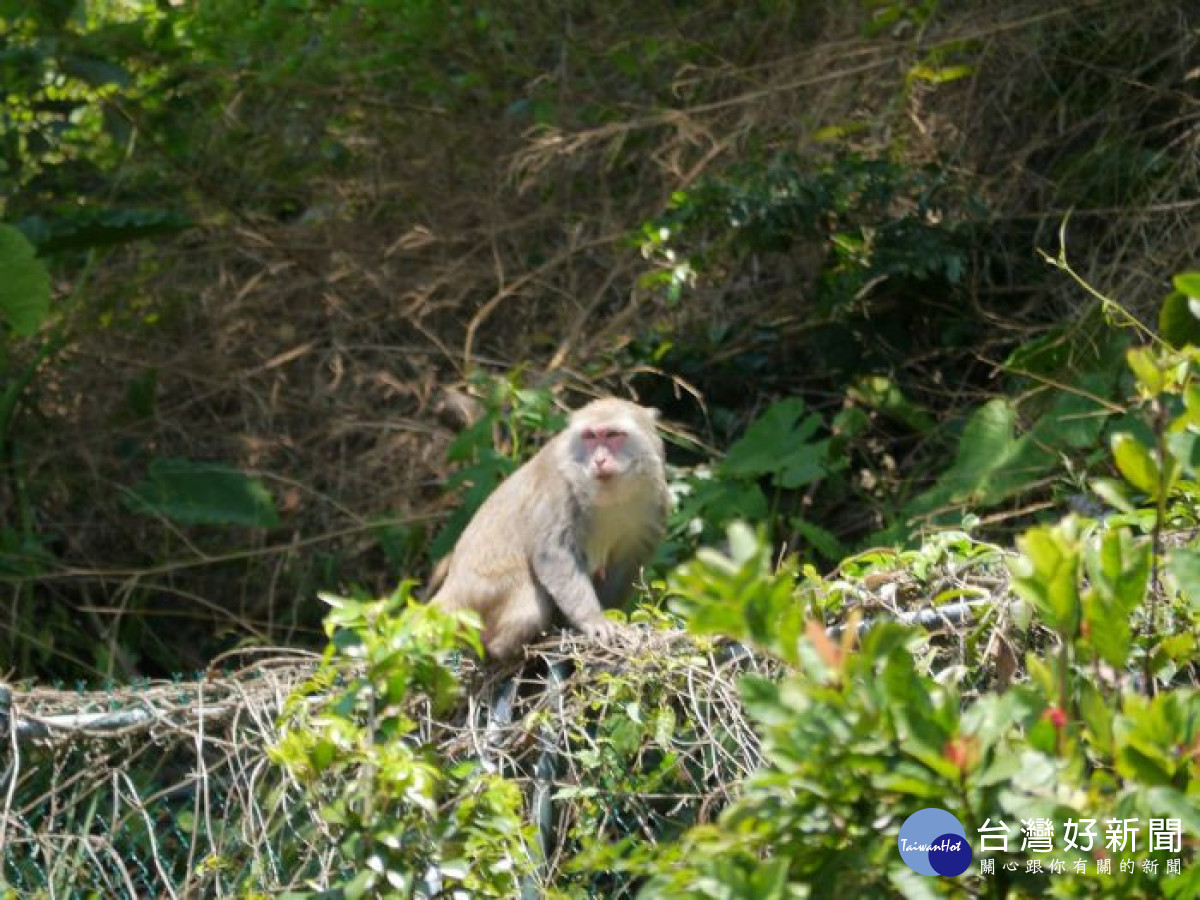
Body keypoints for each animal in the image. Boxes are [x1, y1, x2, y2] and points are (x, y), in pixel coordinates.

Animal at [432, 400, 672, 662]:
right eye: (590, 436)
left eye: (612, 435)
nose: (599, 460)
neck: (609, 495)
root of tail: (451, 590)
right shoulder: (558, 484)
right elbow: (554, 552)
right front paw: (593, 619)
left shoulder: (655, 496)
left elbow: (626, 562)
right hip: (481, 598)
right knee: (530, 608)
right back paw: (505, 647)